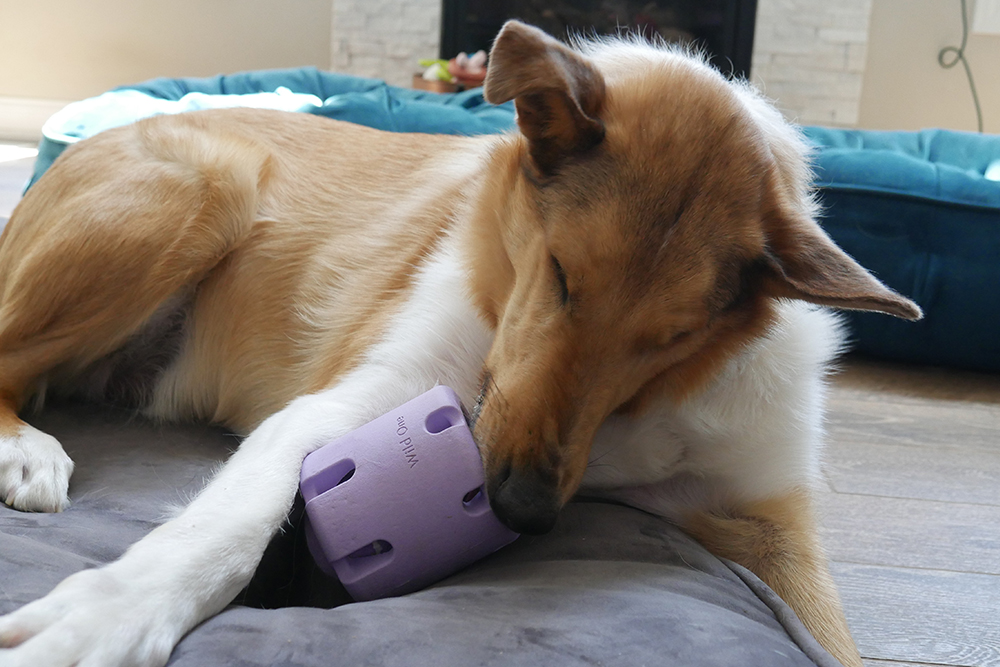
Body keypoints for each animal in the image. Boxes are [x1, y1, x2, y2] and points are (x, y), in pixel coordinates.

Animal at [0, 20, 920, 667]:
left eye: (677, 336)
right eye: (560, 274)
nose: (521, 506)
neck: (643, 415)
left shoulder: (769, 521)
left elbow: (830, 636)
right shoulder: (345, 403)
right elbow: (225, 528)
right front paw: (102, 616)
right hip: (201, 187)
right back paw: (28, 451)